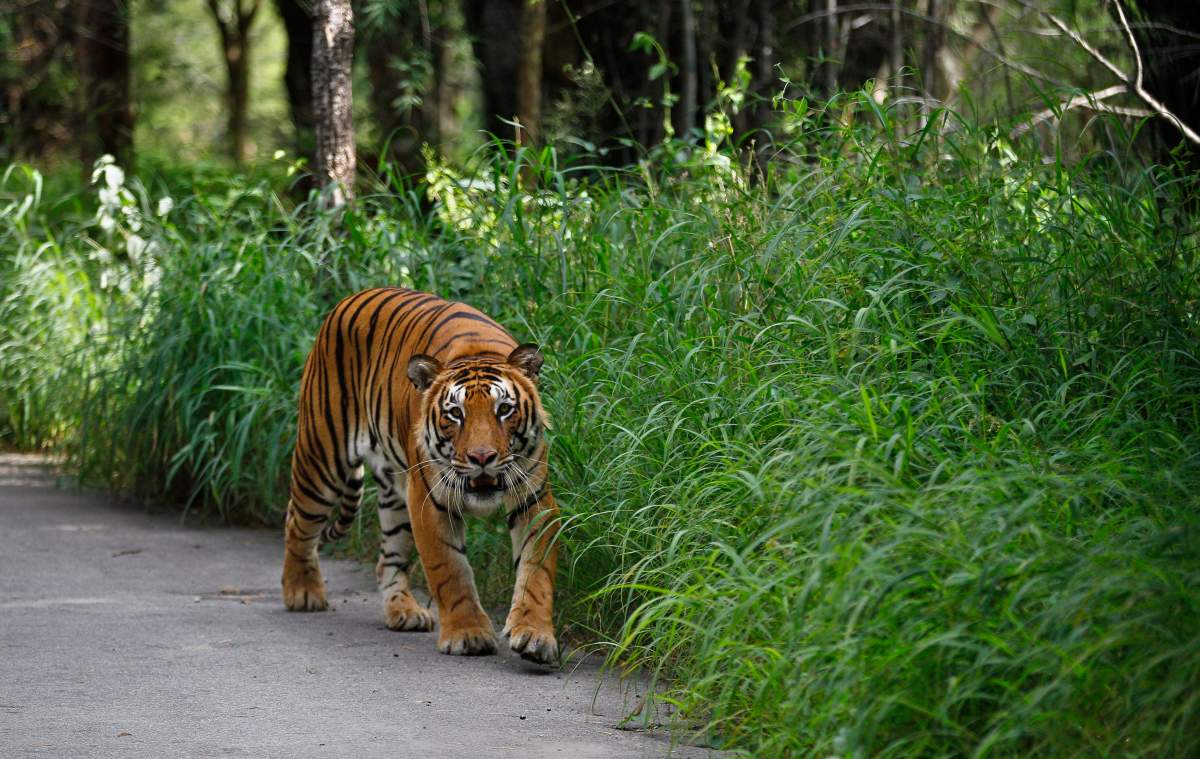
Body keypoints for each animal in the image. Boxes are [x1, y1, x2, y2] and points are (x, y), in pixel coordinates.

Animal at [280, 287, 559, 665]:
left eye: (504, 409)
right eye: (455, 414)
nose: (482, 457)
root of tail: (349, 298)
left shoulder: (534, 499)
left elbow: (536, 573)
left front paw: (534, 636)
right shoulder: (429, 500)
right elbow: (450, 570)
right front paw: (468, 634)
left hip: (395, 495)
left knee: (387, 560)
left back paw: (403, 611)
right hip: (322, 459)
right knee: (296, 521)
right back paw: (302, 592)